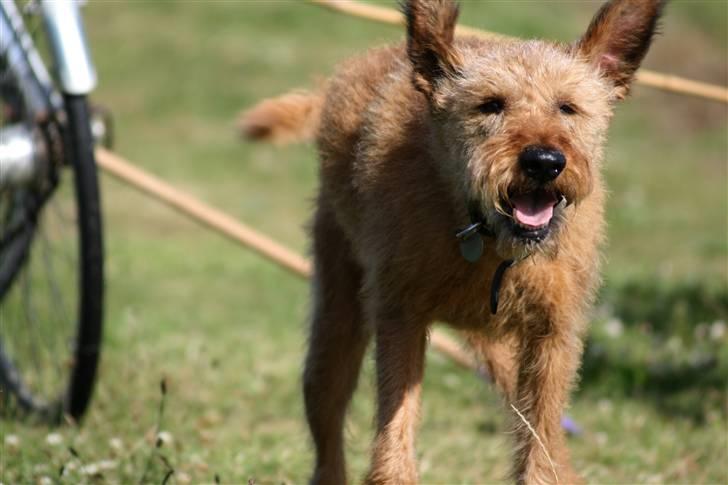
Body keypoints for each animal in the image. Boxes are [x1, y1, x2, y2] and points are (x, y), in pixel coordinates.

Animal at [240, 0, 664, 480]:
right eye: (490, 105)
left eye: (567, 108)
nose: (543, 161)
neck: (486, 239)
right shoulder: (401, 319)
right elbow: (395, 438)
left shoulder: (552, 337)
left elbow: (541, 446)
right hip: (337, 322)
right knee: (327, 425)